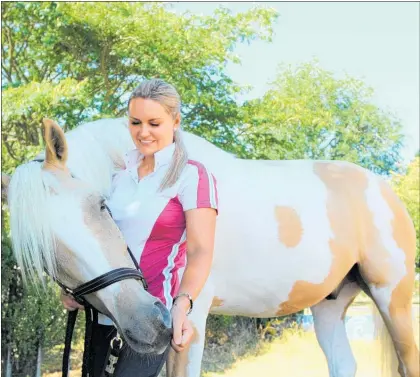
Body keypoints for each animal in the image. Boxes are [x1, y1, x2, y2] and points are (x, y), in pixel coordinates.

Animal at [1, 118, 418, 376]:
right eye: (44, 252)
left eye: (100, 205)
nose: (146, 323)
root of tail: (382, 188)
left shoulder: (190, 325)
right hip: (330, 307)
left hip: (393, 299)